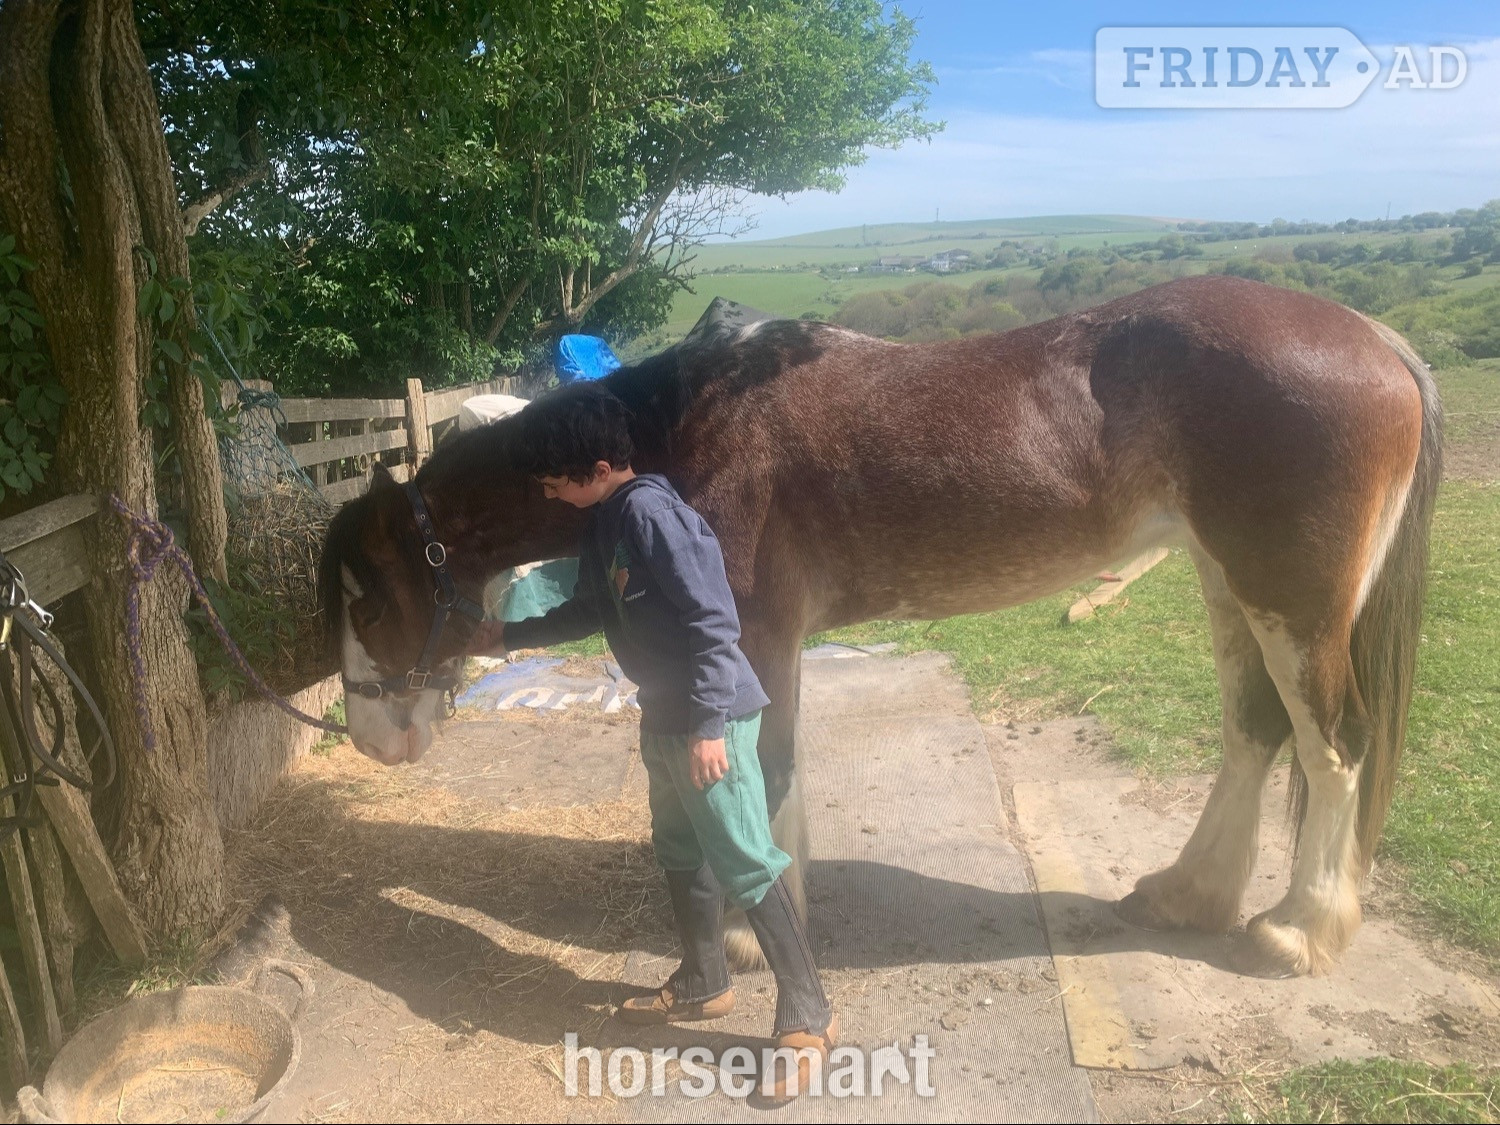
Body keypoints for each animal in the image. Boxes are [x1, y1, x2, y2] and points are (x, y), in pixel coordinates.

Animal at [318, 274, 1442, 979]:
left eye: (367, 596)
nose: (370, 733)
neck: (687, 425)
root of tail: (1375, 337)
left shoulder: (755, 633)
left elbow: (764, 772)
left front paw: (747, 939)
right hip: (1225, 582)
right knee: (1256, 731)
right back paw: (1188, 894)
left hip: (1291, 601)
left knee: (1335, 746)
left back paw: (1295, 932)